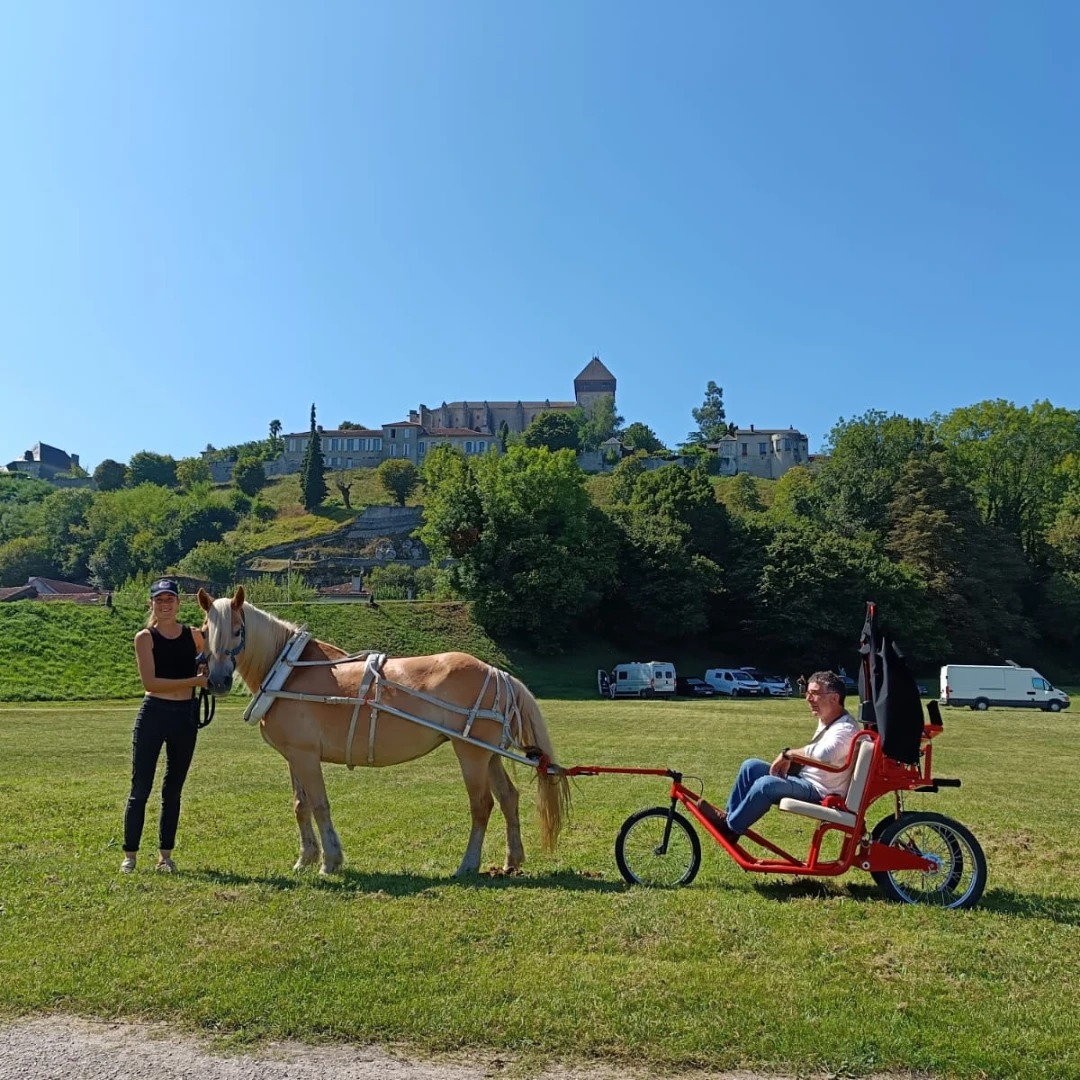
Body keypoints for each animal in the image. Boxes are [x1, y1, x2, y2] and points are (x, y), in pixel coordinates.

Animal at [200, 591, 574, 876]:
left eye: (238, 630)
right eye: (204, 631)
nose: (217, 681)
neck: (289, 672)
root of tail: (498, 673)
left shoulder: (306, 755)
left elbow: (319, 805)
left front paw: (330, 862)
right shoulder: (294, 755)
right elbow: (300, 805)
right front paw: (305, 859)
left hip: (471, 753)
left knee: (482, 805)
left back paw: (467, 864)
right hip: (488, 753)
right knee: (509, 798)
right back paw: (512, 861)